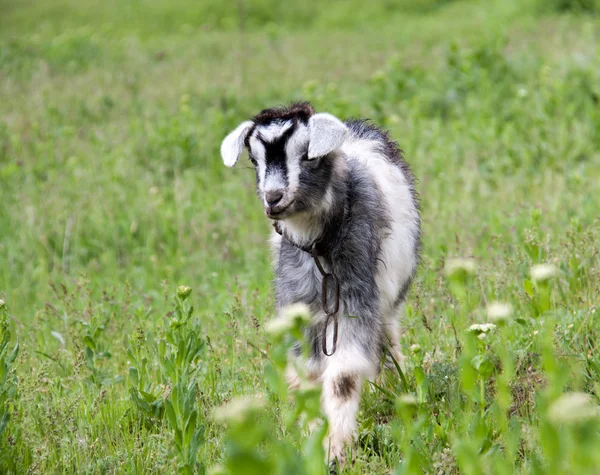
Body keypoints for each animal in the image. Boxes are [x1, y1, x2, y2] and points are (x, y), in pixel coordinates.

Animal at [220, 102, 422, 466]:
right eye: (254, 159)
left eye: (308, 156)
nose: (273, 197)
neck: (319, 247)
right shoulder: (301, 311)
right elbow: (308, 375)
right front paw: (314, 437)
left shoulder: (356, 300)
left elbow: (343, 376)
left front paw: (336, 449)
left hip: (385, 300)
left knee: (385, 340)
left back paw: (392, 386)